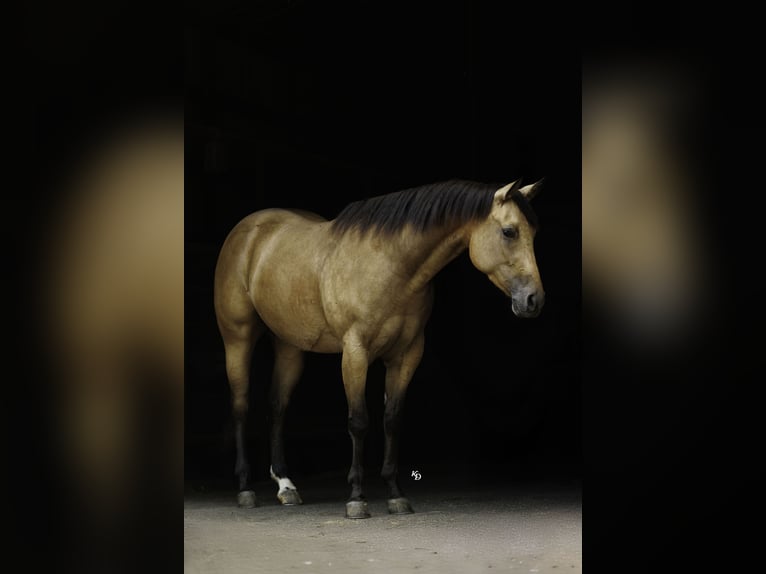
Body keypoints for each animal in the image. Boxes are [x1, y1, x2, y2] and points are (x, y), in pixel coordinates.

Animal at [213, 177, 545, 518]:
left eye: (533, 233)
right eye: (509, 231)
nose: (533, 300)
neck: (390, 265)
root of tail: (247, 230)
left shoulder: (406, 355)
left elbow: (392, 419)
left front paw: (395, 494)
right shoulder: (355, 352)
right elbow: (359, 421)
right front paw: (357, 498)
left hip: (289, 346)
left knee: (277, 407)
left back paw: (286, 485)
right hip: (237, 339)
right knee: (240, 407)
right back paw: (245, 489)